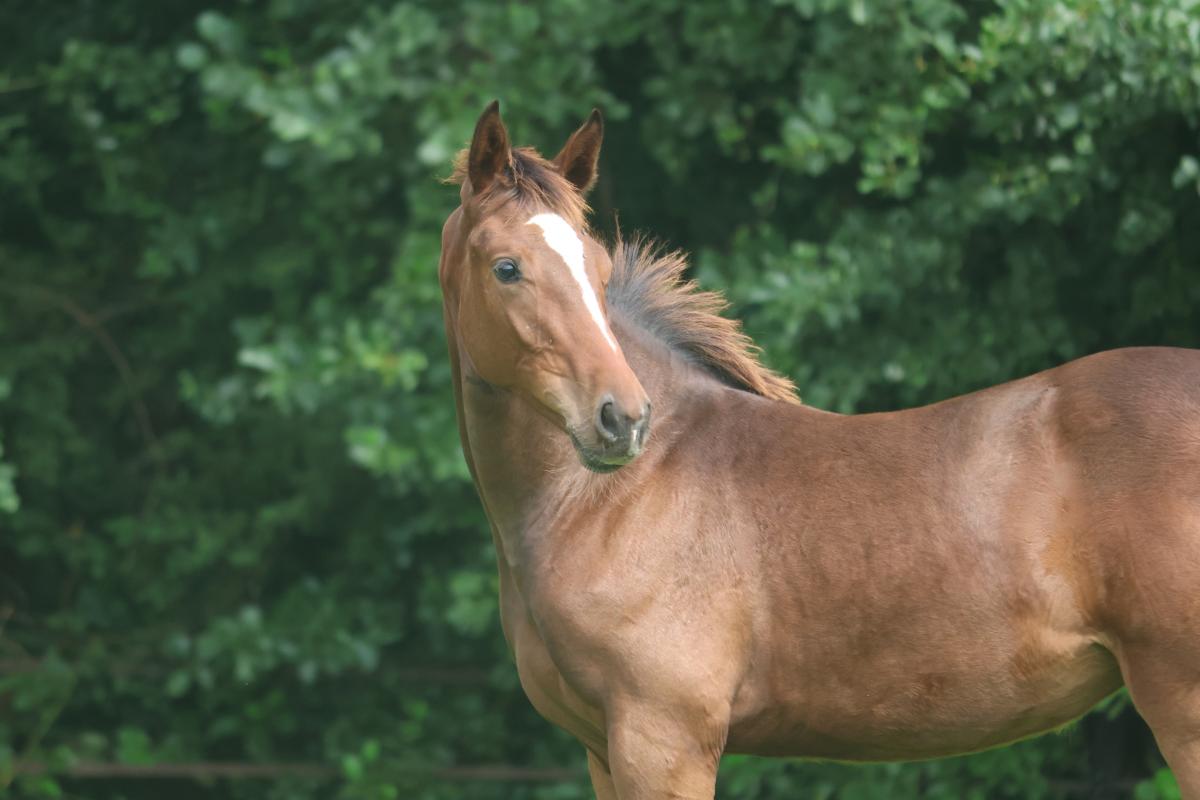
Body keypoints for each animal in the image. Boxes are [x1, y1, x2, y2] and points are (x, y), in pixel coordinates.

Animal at [437, 101, 1200, 799]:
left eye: (597, 270)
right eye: (507, 268)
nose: (622, 418)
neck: (610, 500)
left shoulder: (664, 741)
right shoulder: (604, 750)